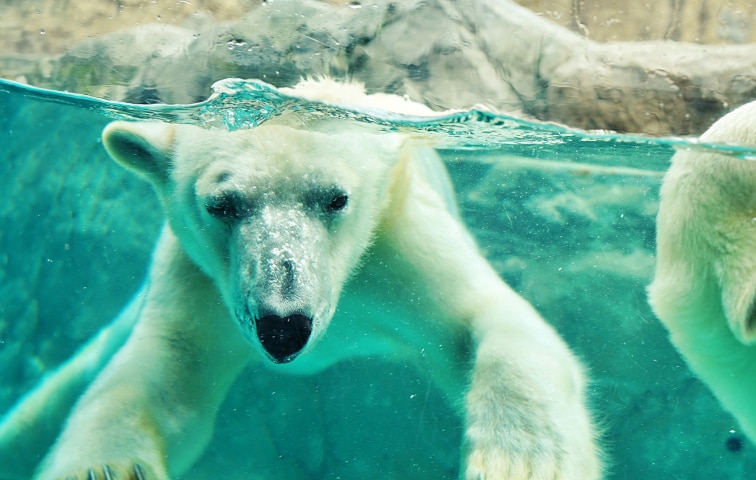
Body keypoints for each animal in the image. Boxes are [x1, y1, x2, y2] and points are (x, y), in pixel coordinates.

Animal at [1, 79, 604, 480]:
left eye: (335, 198)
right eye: (222, 204)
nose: (283, 326)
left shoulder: (395, 242)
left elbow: (487, 323)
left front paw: (521, 462)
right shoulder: (199, 279)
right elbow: (168, 371)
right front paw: (102, 467)